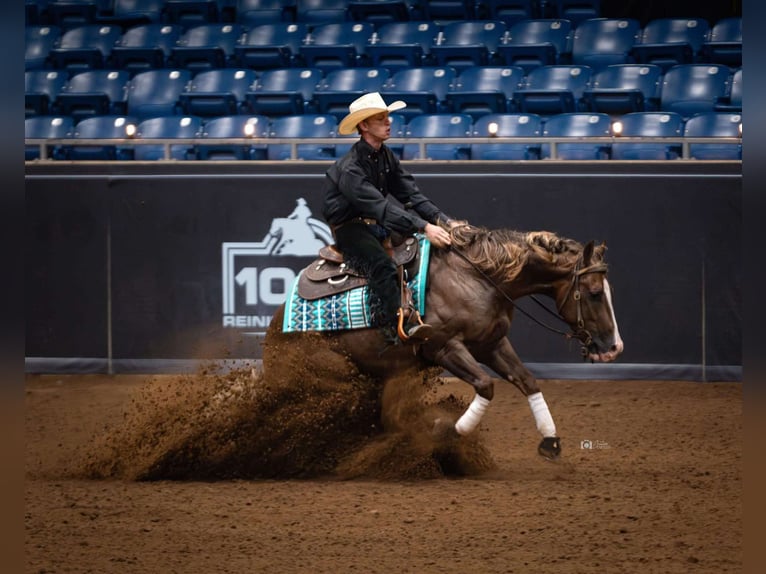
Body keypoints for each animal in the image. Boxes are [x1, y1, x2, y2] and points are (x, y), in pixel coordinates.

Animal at [267, 224, 624, 460]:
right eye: (594, 292)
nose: (614, 348)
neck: (478, 277)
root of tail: (275, 328)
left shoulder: (491, 343)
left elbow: (527, 380)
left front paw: (550, 440)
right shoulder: (443, 347)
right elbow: (485, 385)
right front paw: (447, 431)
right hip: (334, 374)